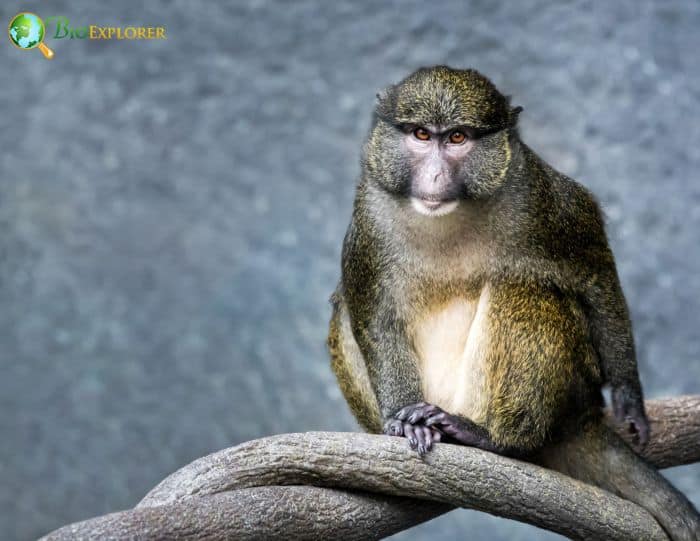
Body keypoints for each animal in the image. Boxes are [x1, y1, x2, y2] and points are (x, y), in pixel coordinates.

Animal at [328, 65, 700, 536]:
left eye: (457, 138)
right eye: (420, 134)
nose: (434, 176)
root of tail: (581, 418)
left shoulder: (541, 196)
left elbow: (596, 276)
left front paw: (630, 399)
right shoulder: (369, 221)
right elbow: (374, 318)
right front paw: (400, 419)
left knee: (522, 287)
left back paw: (490, 438)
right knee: (343, 308)